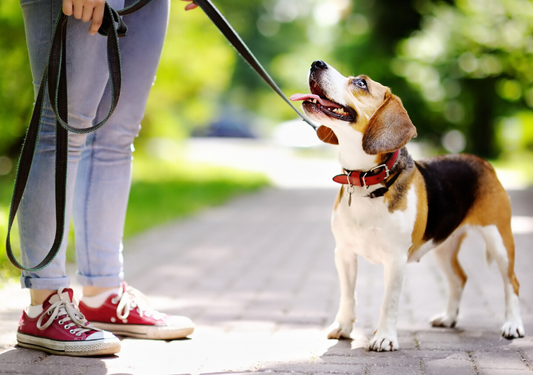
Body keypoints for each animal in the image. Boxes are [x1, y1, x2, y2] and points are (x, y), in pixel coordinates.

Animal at [288, 60, 520, 352]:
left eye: (361, 83)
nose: (316, 63)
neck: (366, 180)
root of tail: (482, 162)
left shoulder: (395, 259)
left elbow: (389, 301)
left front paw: (384, 337)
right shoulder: (344, 253)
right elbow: (348, 295)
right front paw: (343, 327)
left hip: (499, 240)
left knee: (511, 282)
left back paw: (513, 325)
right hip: (442, 246)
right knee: (459, 279)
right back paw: (449, 318)